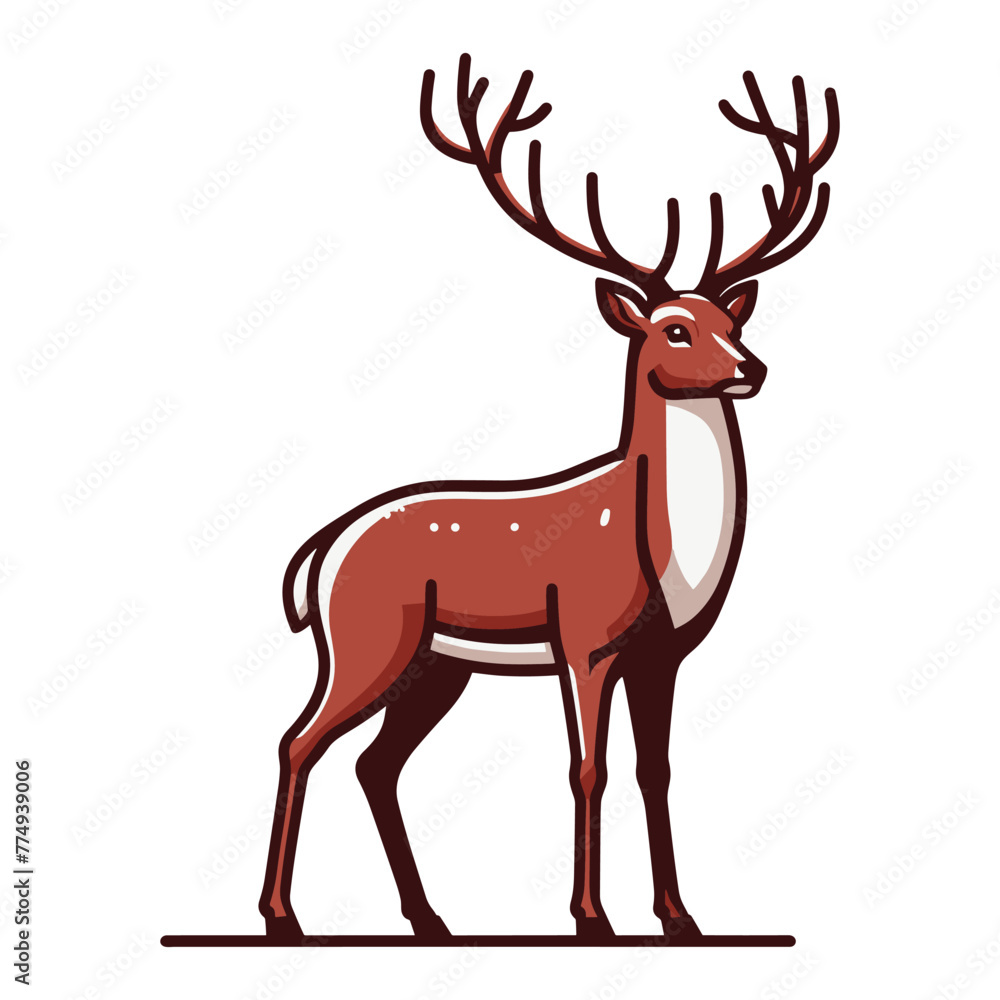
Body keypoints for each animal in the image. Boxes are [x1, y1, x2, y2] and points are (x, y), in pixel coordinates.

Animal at [258, 54, 839, 943]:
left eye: (727, 320)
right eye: (673, 329)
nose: (753, 367)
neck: (663, 554)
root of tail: (319, 553)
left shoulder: (665, 655)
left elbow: (655, 769)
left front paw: (680, 917)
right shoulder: (585, 637)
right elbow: (587, 767)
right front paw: (591, 918)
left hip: (433, 667)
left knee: (374, 762)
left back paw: (429, 918)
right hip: (366, 641)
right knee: (298, 741)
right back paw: (281, 916)